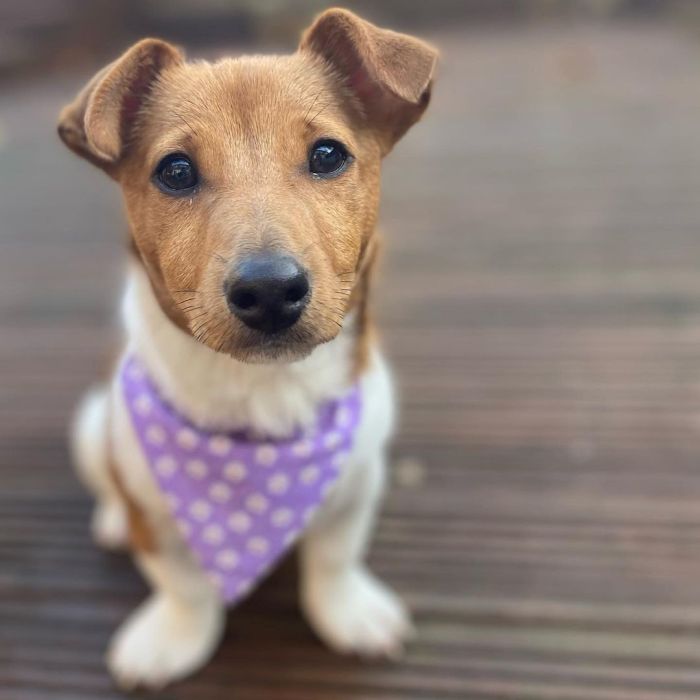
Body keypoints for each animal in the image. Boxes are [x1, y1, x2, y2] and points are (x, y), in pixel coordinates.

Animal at [57, 6, 434, 688]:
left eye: (328, 154)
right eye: (176, 170)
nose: (269, 291)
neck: (262, 391)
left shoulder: (359, 478)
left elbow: (335, 556)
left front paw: (348, 611)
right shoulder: (154, 512)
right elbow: (181, 582)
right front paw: (175, 635)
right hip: (93, 423)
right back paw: (111, 521)